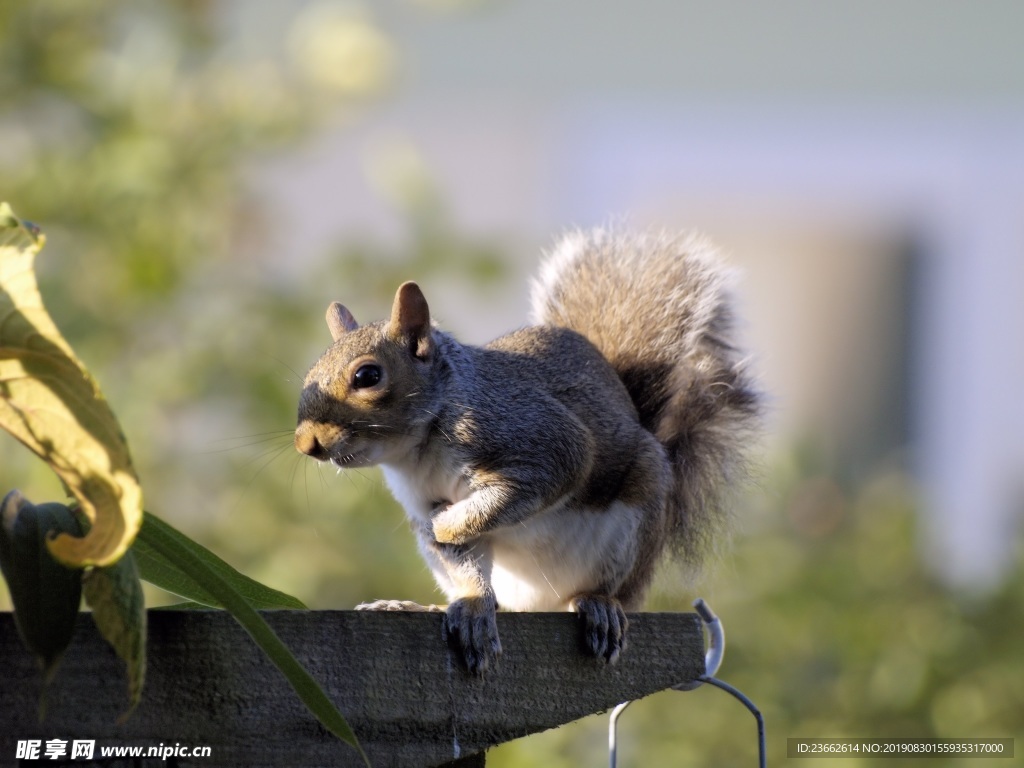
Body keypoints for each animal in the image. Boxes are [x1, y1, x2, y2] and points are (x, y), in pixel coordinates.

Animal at [296, 227, 761, 671]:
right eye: (310, 372)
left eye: (368, 375)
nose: (305, 443)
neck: (417, 449)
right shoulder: (423, 496)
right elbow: (465, 560)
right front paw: (471, 605)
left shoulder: (536, 438)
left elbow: (517, 493)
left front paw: (444, 524)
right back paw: (424, 606)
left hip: (635, 524)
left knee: (612, 590)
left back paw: (600, 606)